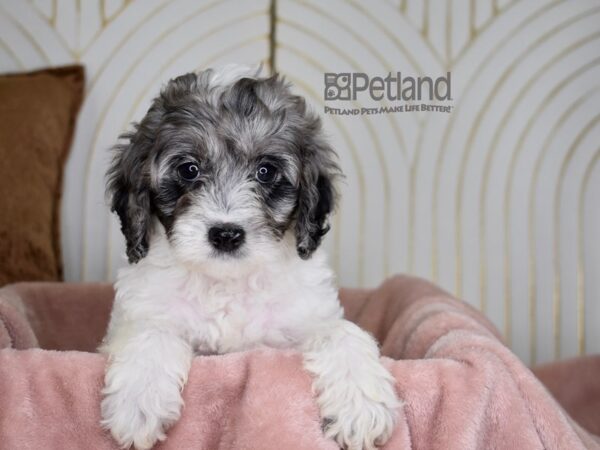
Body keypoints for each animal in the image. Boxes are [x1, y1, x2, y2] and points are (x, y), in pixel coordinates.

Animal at [99, 64, 398, 450]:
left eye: (265, 171)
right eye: (189, 169)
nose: (226, 234)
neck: (228, 281)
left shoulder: (306, 314)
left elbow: (340, 331)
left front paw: (361, 401)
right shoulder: (139, 313)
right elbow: (151, 331)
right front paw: (138, 400)